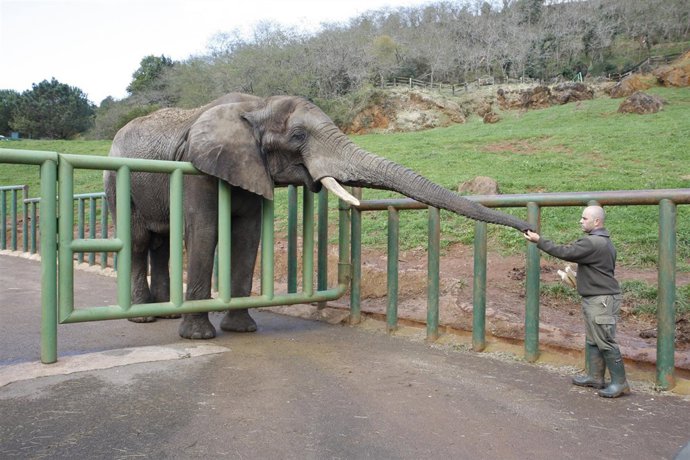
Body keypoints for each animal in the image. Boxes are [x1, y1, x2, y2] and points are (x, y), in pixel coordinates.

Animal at [104, 93, 531, 340]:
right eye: (298, 137)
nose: (531, 233)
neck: (252, 107)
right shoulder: (198, 166)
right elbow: (205, 232)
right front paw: (198, 337)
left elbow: (248, 236)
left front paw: (243, 331)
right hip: (117, 182)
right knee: (140, 241)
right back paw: (143, 319)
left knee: (160, 242)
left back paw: (158, 311)